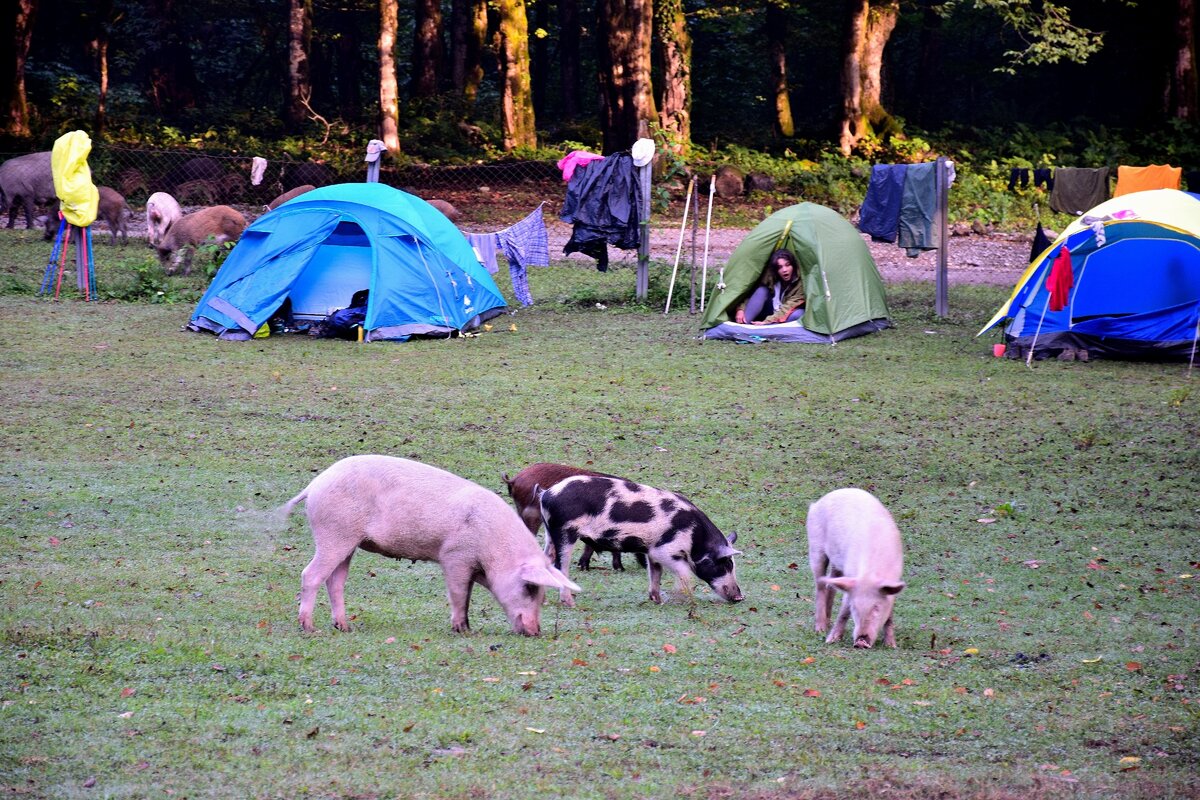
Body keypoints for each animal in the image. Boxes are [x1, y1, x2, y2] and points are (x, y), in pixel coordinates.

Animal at [282, 455, 580, 638]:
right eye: (529, 588)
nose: (535, 632)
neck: (494, 550)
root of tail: (314, 485)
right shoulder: (454, 556)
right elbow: (459, 594)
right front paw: (463, 630)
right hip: (334, 534)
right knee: (310, 574)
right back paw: (309, 628)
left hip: (347, 541)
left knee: (335, 580)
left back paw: (344, 627)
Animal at [535, 479, 739, 604]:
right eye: (724, 564)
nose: (739, 597)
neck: (694, 537)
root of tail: (546, 493)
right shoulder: (663, 549)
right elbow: (684, 572)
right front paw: (679, 599)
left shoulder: (651, 551)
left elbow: (655, 573)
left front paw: (657, 600)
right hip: (564, 532)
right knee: (560, 566)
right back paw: (570, 603)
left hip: (549, 533)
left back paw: (543, 600)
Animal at [806, 489, 907, 652]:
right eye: (854, 607)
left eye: (876, 607)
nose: (860, 642)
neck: (870, 575)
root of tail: (819, 501)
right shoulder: (852, 581)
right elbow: (843, 611)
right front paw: (831, 640)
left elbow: (890, 615)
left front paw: (891, 645)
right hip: (815, 546)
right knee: (820, 586)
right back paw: (820, 629)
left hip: (837, 564)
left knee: (831, 585)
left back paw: (827, 623)